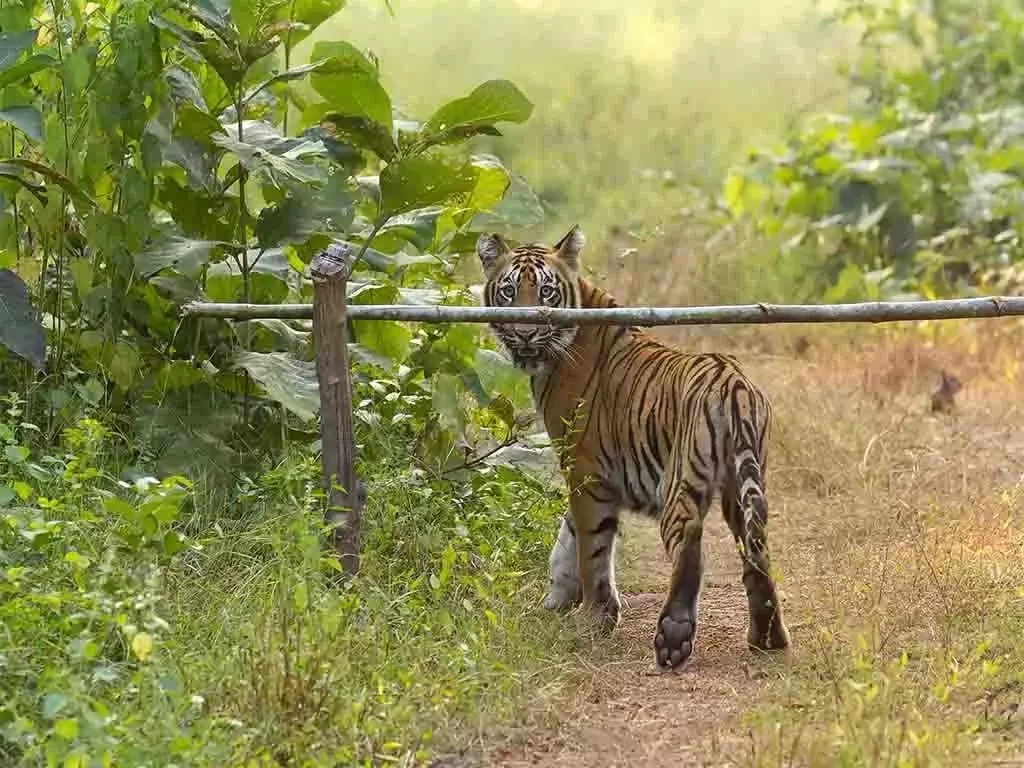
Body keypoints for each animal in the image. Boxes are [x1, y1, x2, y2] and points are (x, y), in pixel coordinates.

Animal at [476, 225, 790, 669]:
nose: (524, 331)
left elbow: (591, 548)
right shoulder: (591, 475)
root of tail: (734, 384)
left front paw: (592, 617)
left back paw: (673, 638)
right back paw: (767, 636)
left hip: (681, 475)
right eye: (508, 291)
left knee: (691, 543)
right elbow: (568, 539)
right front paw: (556, 602)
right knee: (756, 546)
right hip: (744, 484)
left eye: (546, 292)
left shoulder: (584, 468)